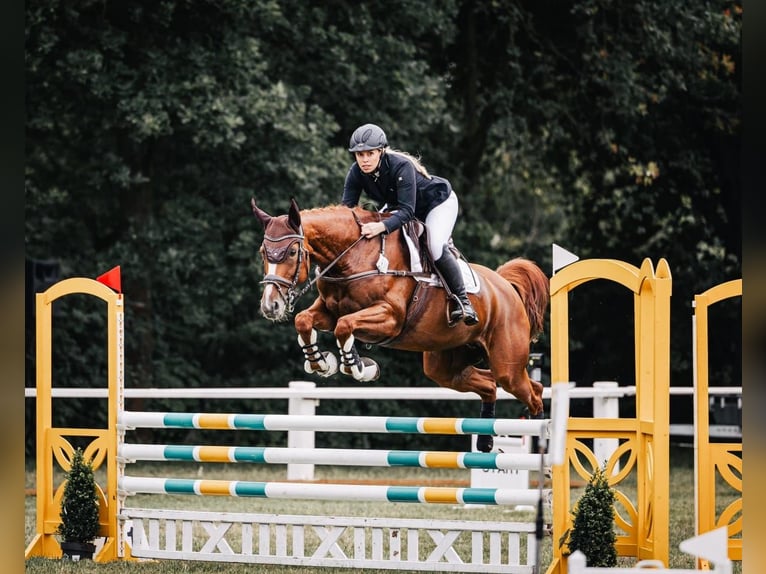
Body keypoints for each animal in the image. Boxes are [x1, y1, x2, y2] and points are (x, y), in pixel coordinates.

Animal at [251, 197, 549, 452]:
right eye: (263, 251)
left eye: (292, 251)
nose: (270, 305)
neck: (354, 257)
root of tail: (505, 287)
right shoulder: (327, 311)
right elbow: (305, 320)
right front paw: (321, 363)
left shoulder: (389, 317)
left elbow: (344, 327)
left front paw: (359, 367)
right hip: (446, 366)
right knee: (488, 385)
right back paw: (486, 441)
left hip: (507, 365)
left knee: (533, 392)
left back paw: (543, 453)